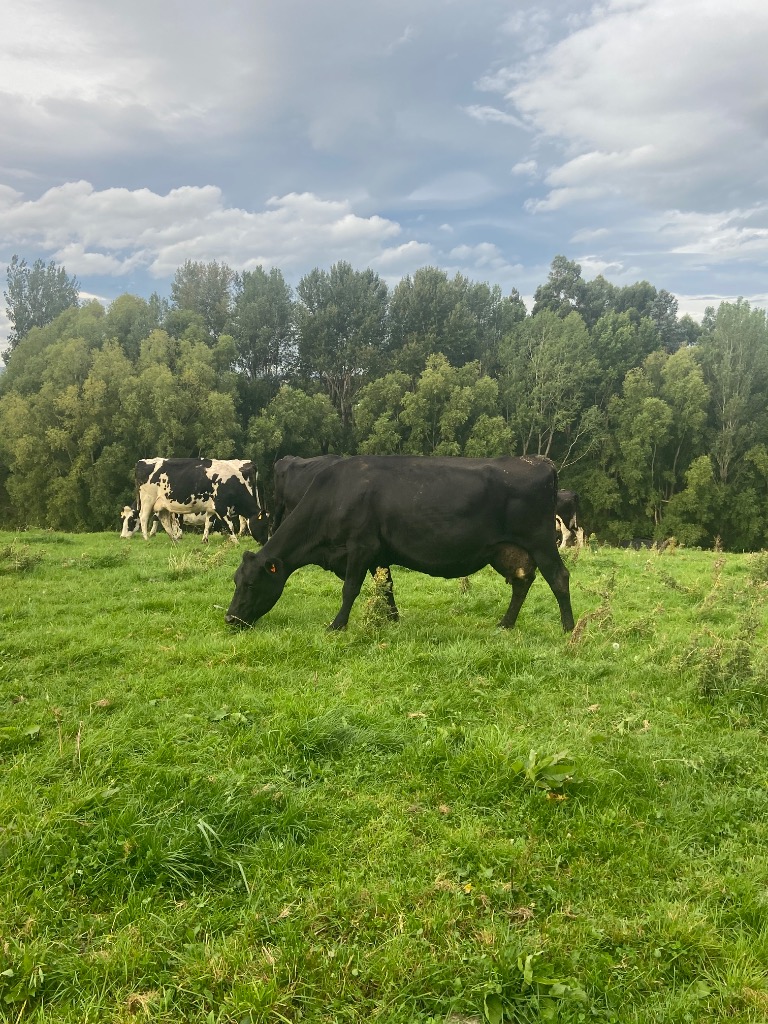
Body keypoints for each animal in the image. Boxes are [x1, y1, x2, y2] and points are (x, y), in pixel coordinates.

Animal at [133, 458, 266, 543]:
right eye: (263, 524)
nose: (264, 542)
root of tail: (141, 462)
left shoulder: (212, 509)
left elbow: (208, 523)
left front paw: (204, 540)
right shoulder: (221, 506)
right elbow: (230, 525)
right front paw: (236, 541)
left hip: (162, 504)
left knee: (164, 520)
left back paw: (174, 540)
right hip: (148, 500)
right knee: (143, 517)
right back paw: (146, 538)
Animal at [225, 455, 574, 632]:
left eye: (251, 583)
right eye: (236, 581)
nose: (229, 618)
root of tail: (539, 461)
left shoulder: (361, 547)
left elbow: (350, 589)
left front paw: (337, 625)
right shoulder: (378, 552)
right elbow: (387, 587)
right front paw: (394, 621)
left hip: (541, 541)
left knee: (559, 578)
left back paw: (569, 628)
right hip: (508, 550)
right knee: (522, 581)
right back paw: (505, 624)